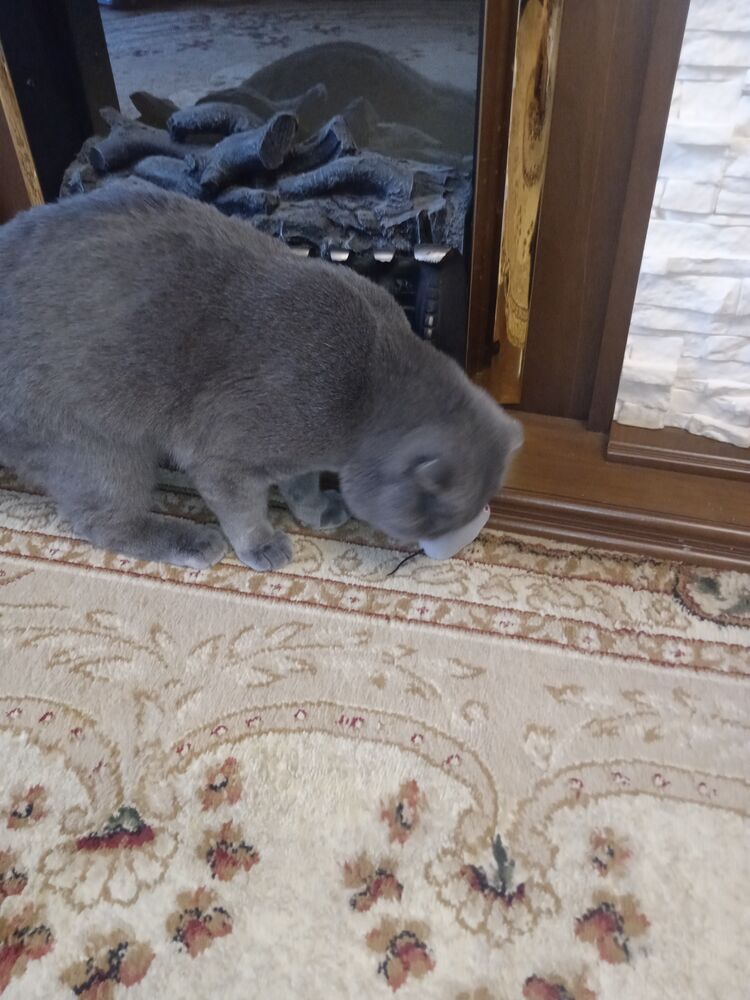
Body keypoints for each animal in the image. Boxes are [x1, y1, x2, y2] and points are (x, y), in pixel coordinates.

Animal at [0, 183, 521, 571]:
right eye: (438, 523)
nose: (456, 545)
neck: (367, 398)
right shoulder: (223, 454)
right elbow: (243, 507)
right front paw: (263, 545)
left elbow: (301, 482)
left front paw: (315, 510)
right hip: (90, 439)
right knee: (104, 519)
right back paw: (191, 541)